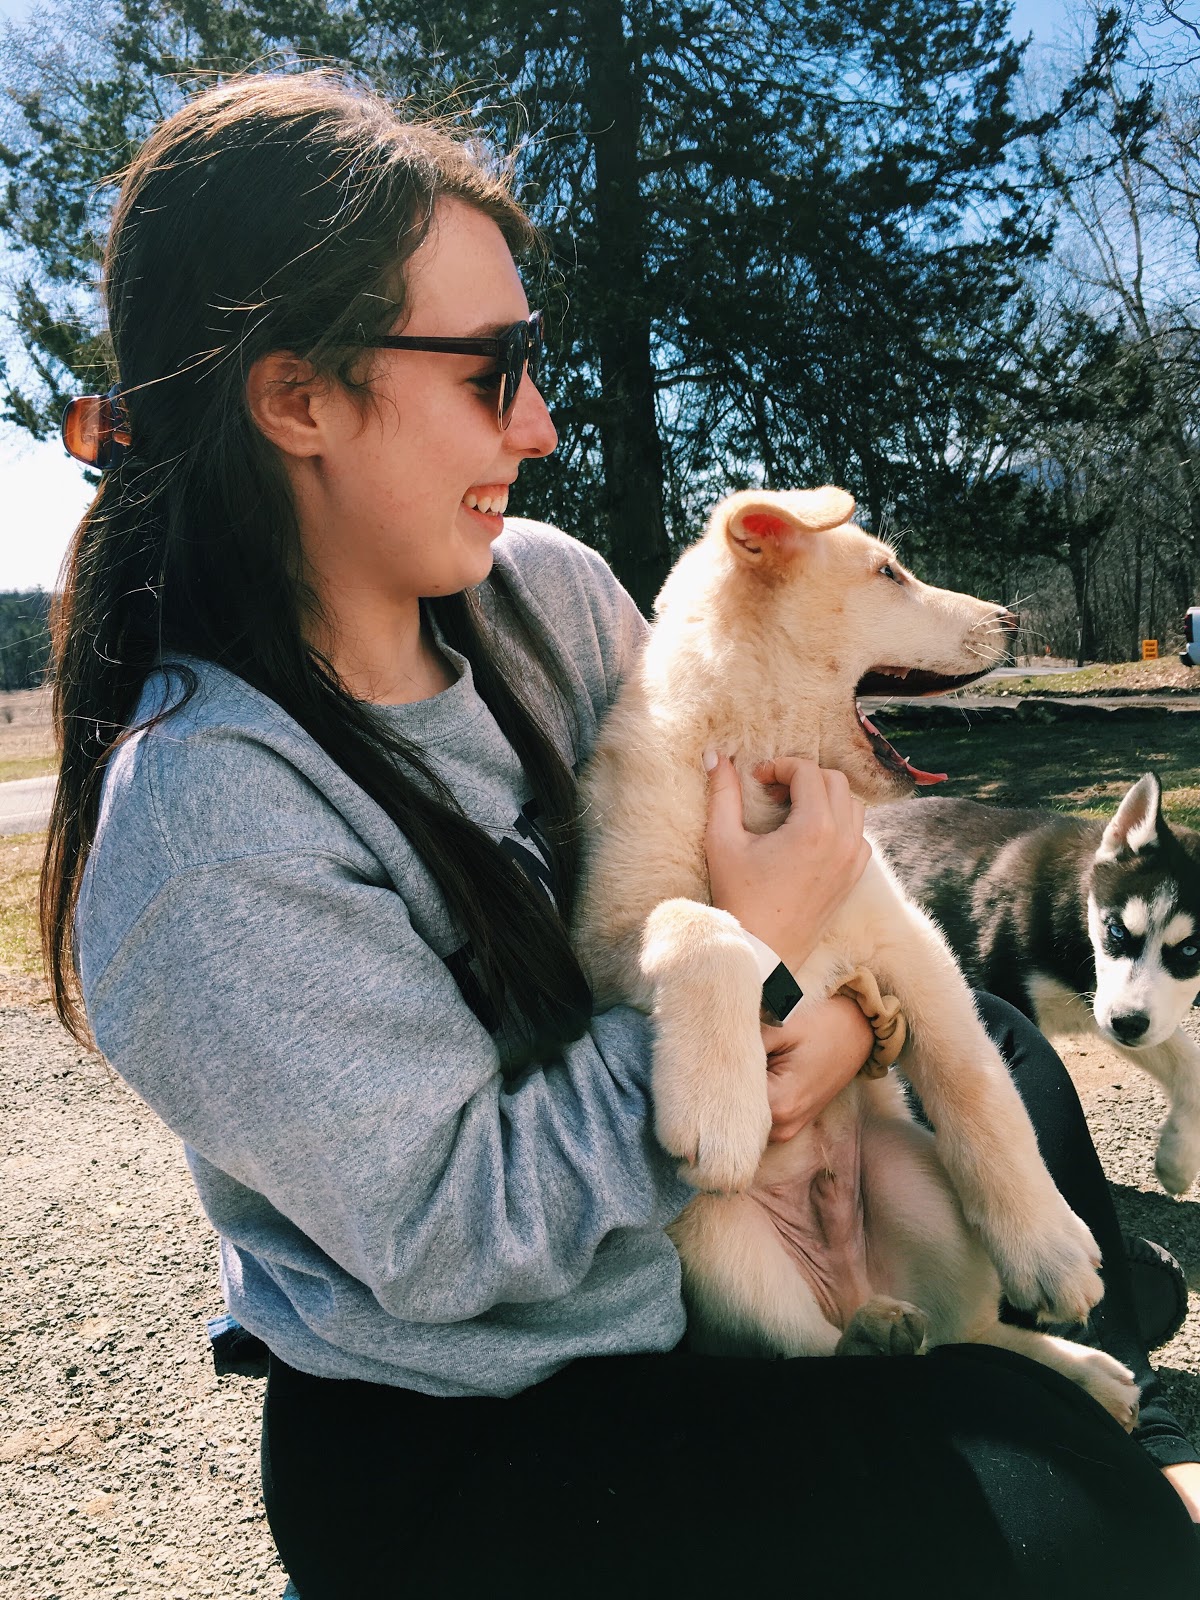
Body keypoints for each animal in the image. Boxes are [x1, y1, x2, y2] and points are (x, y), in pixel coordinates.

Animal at [573, 486, 1138, 1426]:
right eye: (887, 573)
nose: (1013, 618)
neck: (764, 779)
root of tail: (848, 1273)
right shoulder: (599, 943)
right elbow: (699, 918)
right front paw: (720, 1101)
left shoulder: (910, 947)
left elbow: (982, 1094)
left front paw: (1051, 1247)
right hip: (720, 1249)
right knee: (816, 1350)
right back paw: (875, 1332)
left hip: (921, 1194)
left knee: (968, 1333)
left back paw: (1081, 1368)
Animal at [866, 778, 1200, 1194]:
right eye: (1117, 931)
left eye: (1190, 950)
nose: (1127, 1023)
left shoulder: (1103, 1005)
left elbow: (1188, 1061)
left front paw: (1177, 1159)